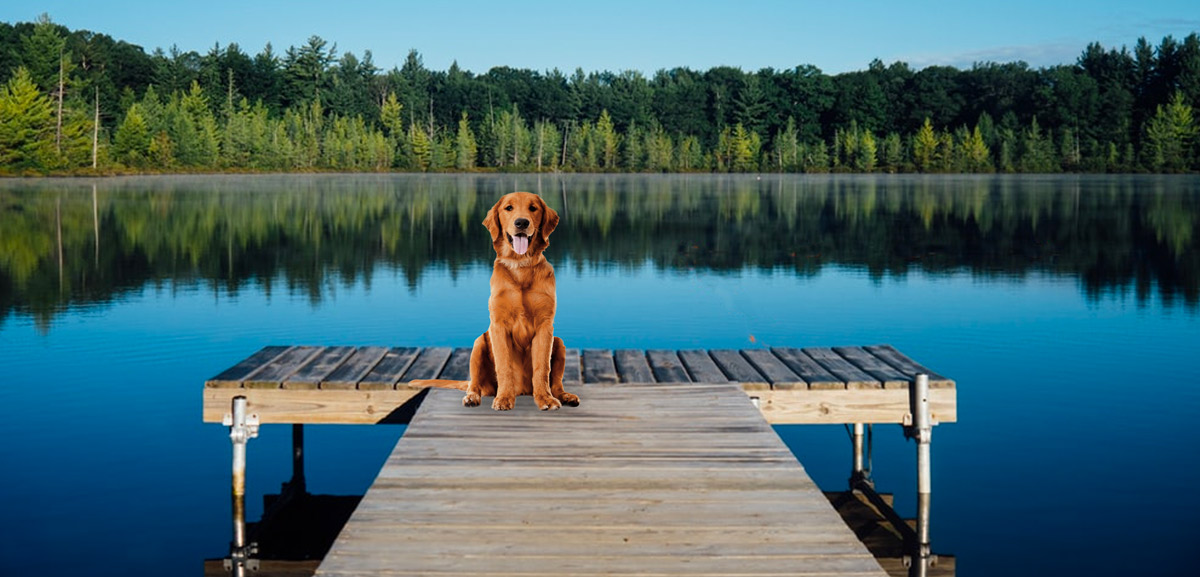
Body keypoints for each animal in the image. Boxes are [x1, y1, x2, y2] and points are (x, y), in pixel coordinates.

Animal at [415, 191, 578, 410]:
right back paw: (472, 397)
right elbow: (504, 366)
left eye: (533, 208)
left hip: (559, 343)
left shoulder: (545, 326)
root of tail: (523, 390)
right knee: (474, 384)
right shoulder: (498, 326)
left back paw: (565, 396)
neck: (520, 265)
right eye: (508, 208)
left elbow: (542, 367)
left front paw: (545, 398)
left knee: (557, 383)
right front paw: (504, 399)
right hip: (478, 345)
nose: (521, 222)